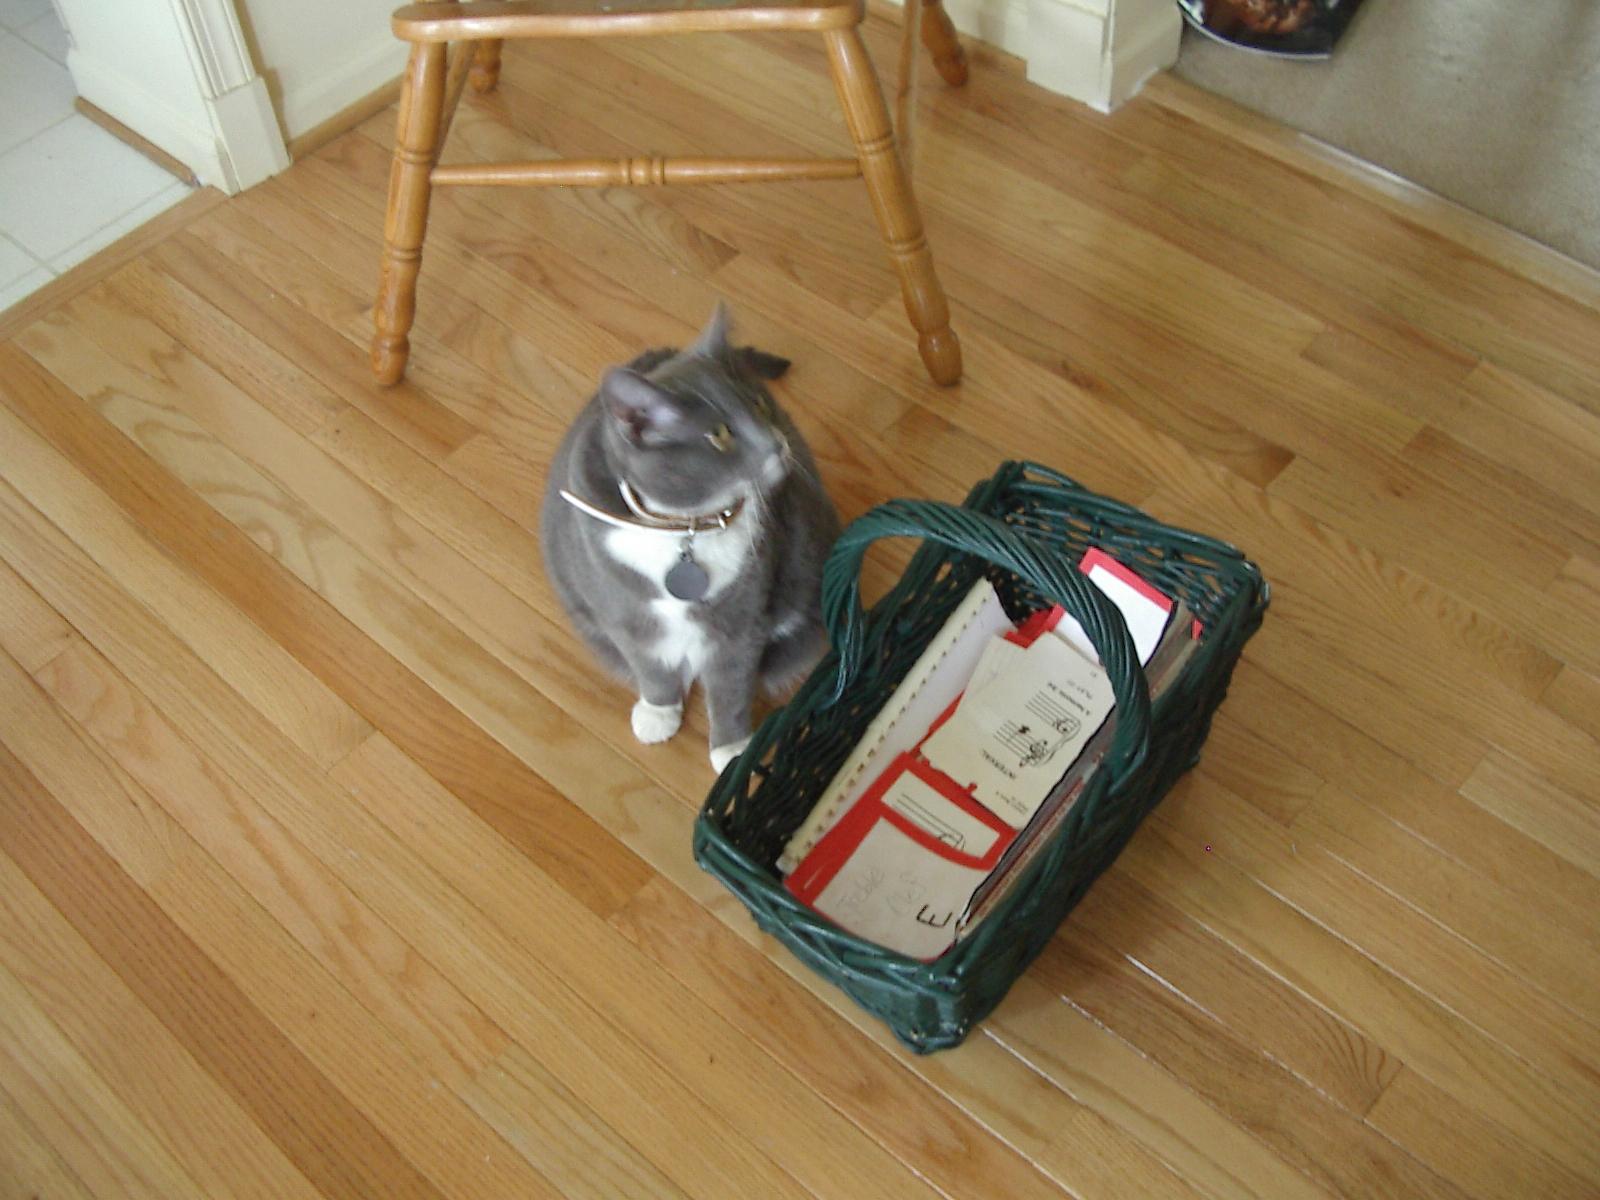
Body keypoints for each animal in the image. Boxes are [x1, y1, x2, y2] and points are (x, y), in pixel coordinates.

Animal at [540, 305, 844, 774]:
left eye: (759, 404)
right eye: (719, 435)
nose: (776, 444)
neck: (687, 525)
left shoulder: (742, 621)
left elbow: (730, 684)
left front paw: (732, 748)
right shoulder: (623, 613)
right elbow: (650, 666)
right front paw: (658, 711)